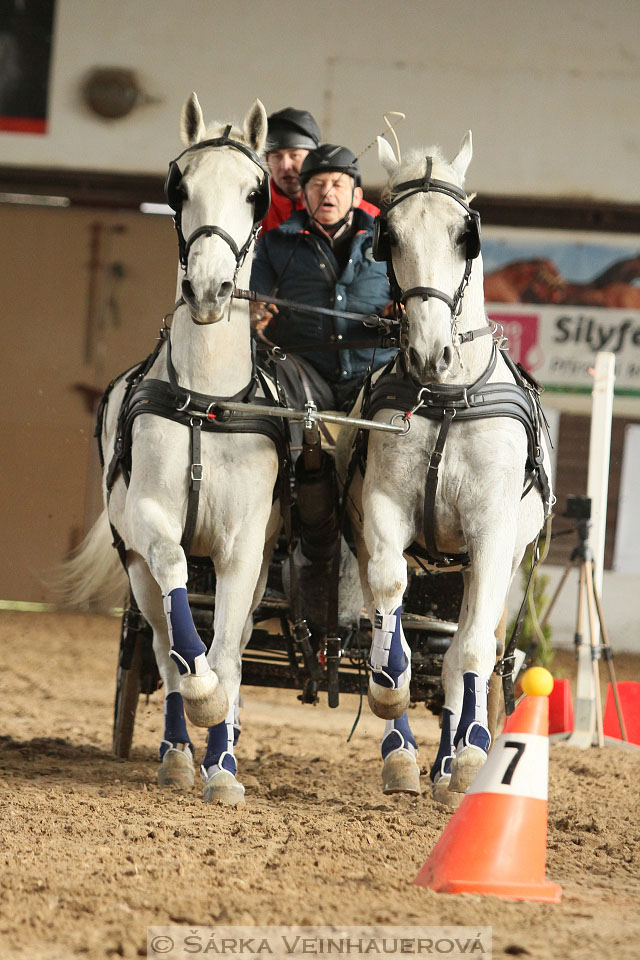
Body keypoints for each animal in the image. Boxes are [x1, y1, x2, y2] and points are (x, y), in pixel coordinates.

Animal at [63, 95, 282, 804]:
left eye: (255, 193)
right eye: (178, 188)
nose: (210, 290)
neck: (206, 402)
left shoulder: (246, 546)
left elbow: (230, 653)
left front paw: (226, 767)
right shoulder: (148, 523)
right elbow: (178, 585)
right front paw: (201, 709)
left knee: (231, 643)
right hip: (132, 563)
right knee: (163, 645)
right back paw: (177, 752)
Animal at [338, 131, 552, 808]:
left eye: (466, 236)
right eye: (390, 236)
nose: (430, 352)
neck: (449, 395)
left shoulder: (491, 535)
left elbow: (473, 650)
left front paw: (472, 755)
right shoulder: (383, 512)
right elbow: (390, 609)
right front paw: (389, 693)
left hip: (496, 563)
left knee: (464, 650)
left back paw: (456, 758)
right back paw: (408, 758)